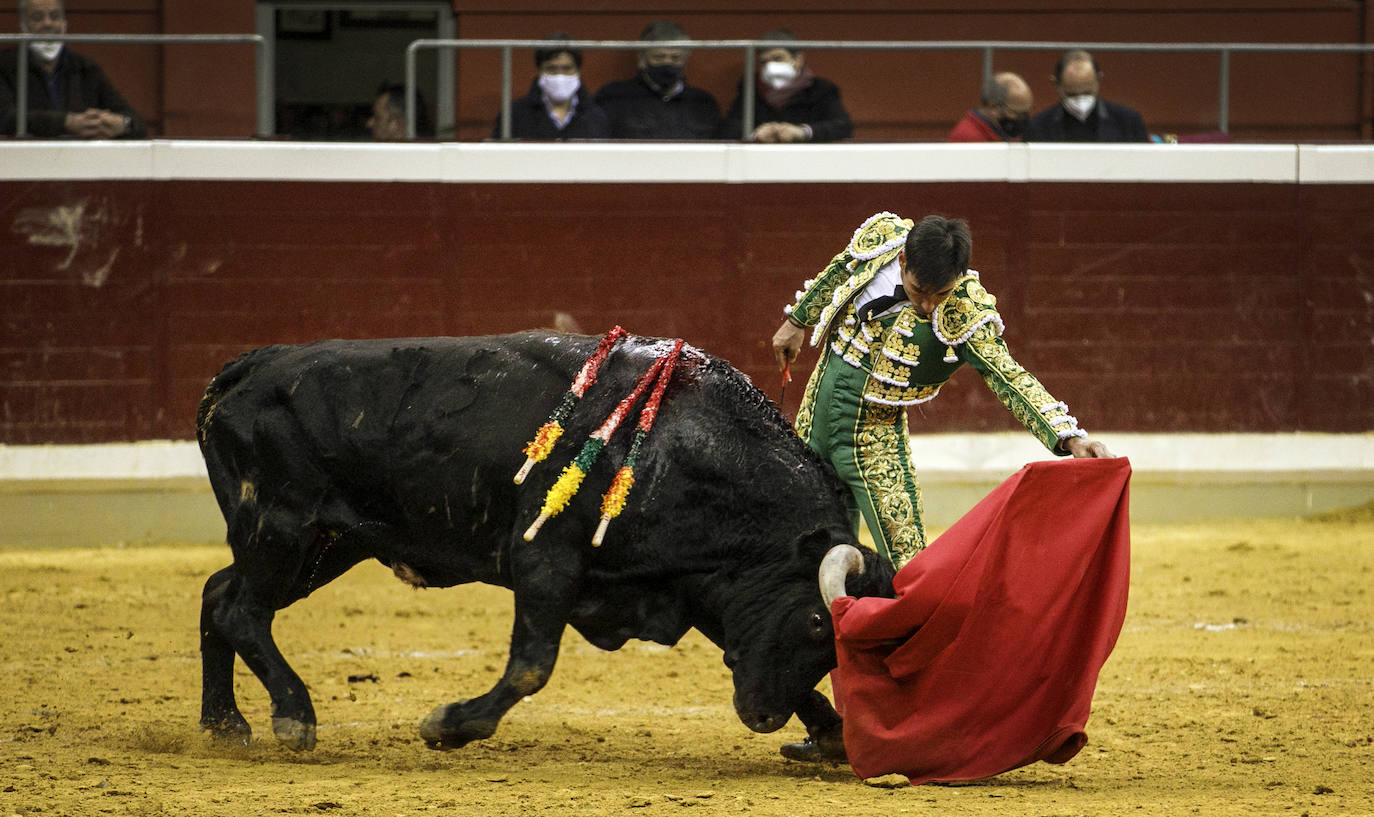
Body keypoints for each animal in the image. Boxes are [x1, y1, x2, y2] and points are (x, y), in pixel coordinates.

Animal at [199, 333, 895, 752]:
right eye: (817, 621)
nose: (763, 718)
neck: (681, 448)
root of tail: (253, 366)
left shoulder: (692, 584)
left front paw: (830, 734)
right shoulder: (545, 558)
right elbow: (533, 663)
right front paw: (449, 725)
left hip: (327, 545)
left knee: (217, 593)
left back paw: (224, 723)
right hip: (281, 529)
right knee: (240, 608)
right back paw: (293, 717)